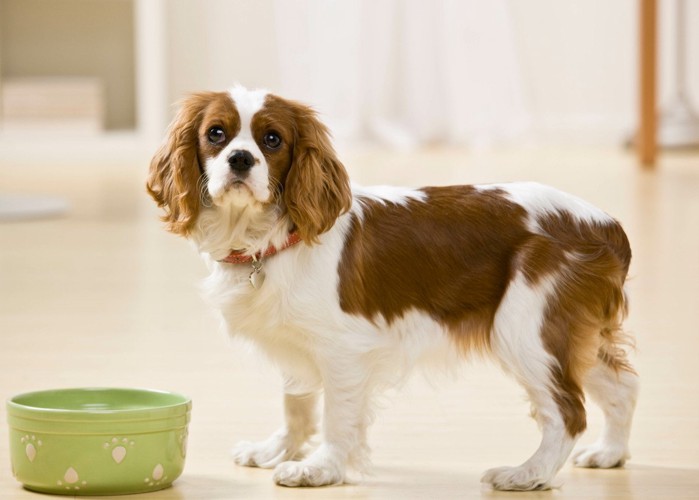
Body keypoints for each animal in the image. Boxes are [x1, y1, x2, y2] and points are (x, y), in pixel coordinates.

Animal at [148, 86, 640, 492]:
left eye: (272, 140)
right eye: (216, 134)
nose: (240, 159)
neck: (267, 239)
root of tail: (606, 225)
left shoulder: (342, 350)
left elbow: (336, 416)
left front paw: (320, 468)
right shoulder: (297, 341)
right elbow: (297, 402)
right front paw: (277, 450)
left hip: (525, 332)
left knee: (568, 411)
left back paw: (528, 473)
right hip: (571, 334)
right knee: (623, 386)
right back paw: (610, 454)